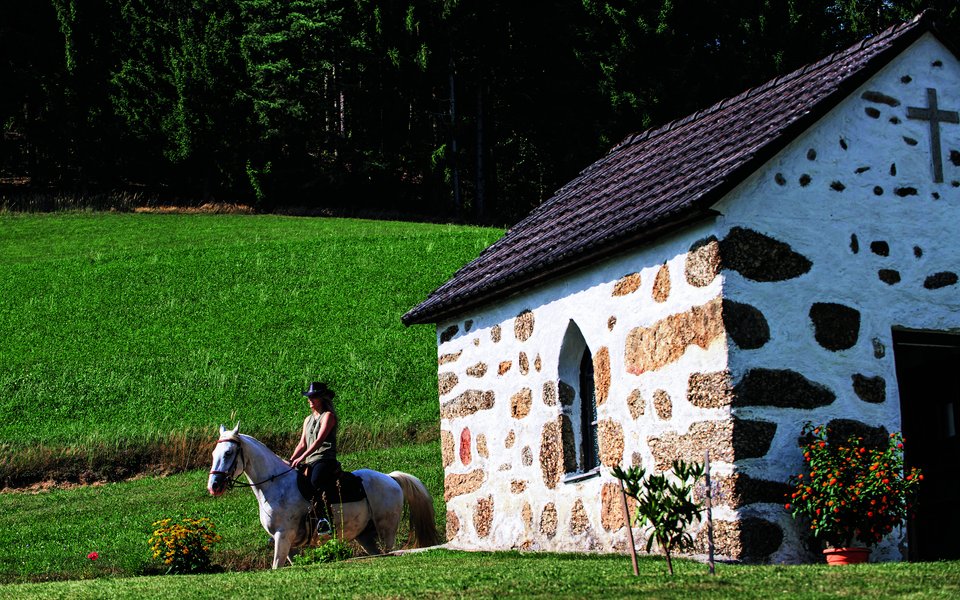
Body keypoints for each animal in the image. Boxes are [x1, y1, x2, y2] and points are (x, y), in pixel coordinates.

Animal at [208, 422, 440, 568]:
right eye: (213, 454)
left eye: (228, 453)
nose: (214, 486)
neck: (275, 485)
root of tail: (390, 478)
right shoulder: (287, 543)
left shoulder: (283, 537)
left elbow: (275, 566)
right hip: (365, 536)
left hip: (387, 530)